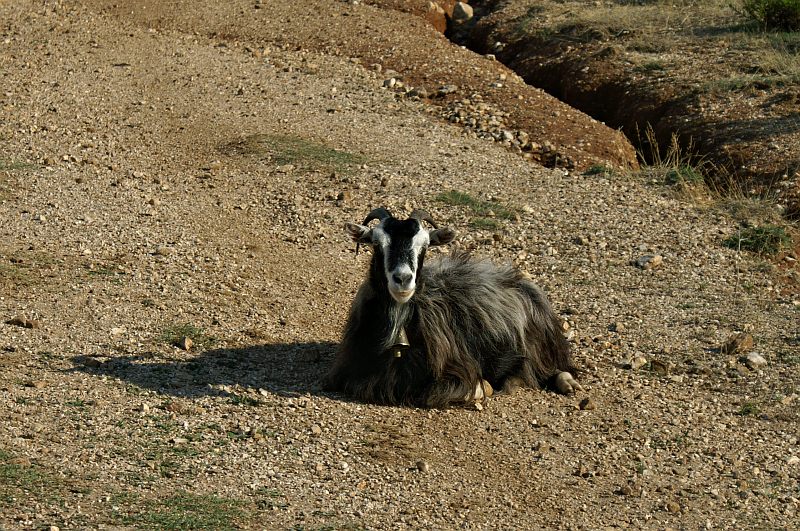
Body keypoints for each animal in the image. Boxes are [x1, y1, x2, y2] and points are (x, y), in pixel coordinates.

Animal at [324, 208, 580, 408]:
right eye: (376, 243)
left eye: (425, 245)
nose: (403, 279)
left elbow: (473, 389)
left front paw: (493, 384)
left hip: (543, 346)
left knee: (556, 367)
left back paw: (568, 384)